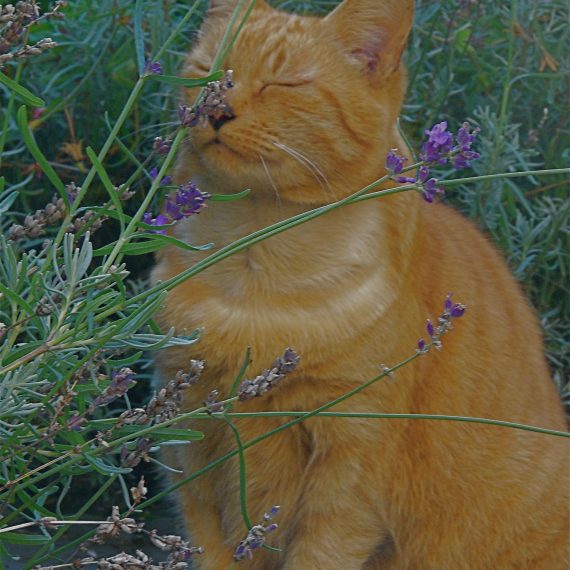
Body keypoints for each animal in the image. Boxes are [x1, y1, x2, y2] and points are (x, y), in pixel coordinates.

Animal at [152, 1, 568, 568]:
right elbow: (209, 546)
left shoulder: (351, 463)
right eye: (207, 72)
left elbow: (320, 551)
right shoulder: (190, 441)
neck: (253, 266)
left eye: (284, 84)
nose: (215, 110)